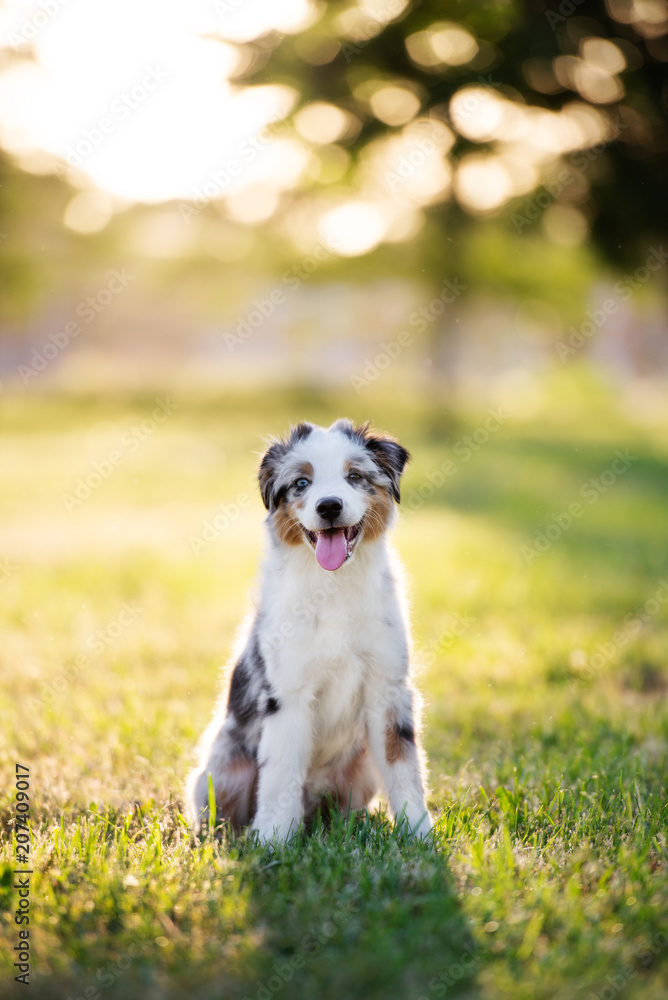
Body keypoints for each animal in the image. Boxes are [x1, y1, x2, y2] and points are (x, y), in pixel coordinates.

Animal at [187, 418, 434, 840]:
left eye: (355, 476)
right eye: (302, 483)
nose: (329, 505)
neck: (333, 586)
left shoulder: (388, 690)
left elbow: (404, 766)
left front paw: (418, 833)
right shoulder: (289, 694)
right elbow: (282, 772)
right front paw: (273, 841)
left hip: (360, 768)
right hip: (220, 772)